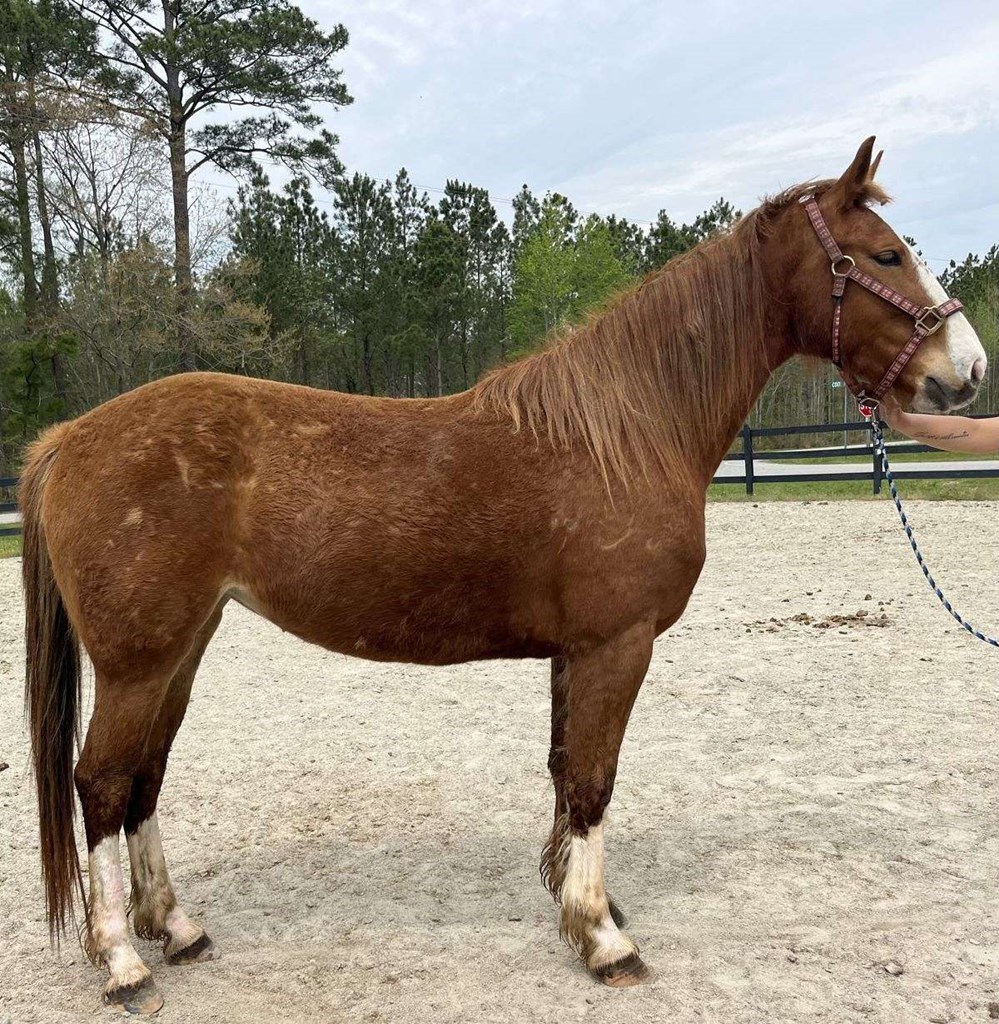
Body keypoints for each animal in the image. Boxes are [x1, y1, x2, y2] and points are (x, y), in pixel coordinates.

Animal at [21, 137, 987, 1013]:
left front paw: (580, 904)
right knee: (100, 784)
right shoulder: (615, 645)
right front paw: (602, 940)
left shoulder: (576, 652)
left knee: (144, 780)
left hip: (181, 650)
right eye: (882, 254)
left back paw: (175, 928)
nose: (966, 372)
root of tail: (69, 437)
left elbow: (564, 771)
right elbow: (592, 780)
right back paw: (123, 961)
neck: (628, 431)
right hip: (139, 662)